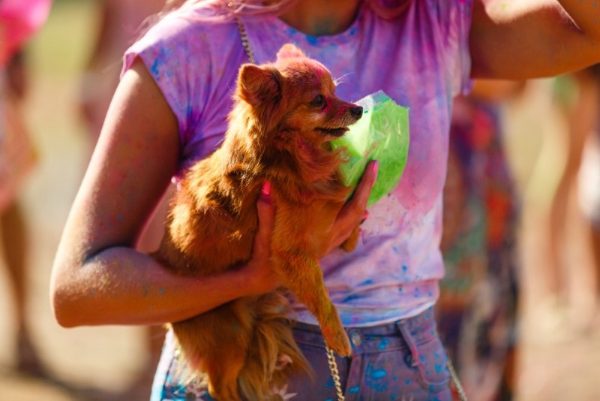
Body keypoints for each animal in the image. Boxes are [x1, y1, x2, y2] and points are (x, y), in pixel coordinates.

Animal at [156, 43, 360, 400]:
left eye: (336, 92)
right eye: (318, 101)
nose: (360, 109)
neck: (290, 155)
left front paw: (352, 235)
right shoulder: (291, 253)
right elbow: (322, 299)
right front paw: (337, 336)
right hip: (230, 334)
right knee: (220, 386)